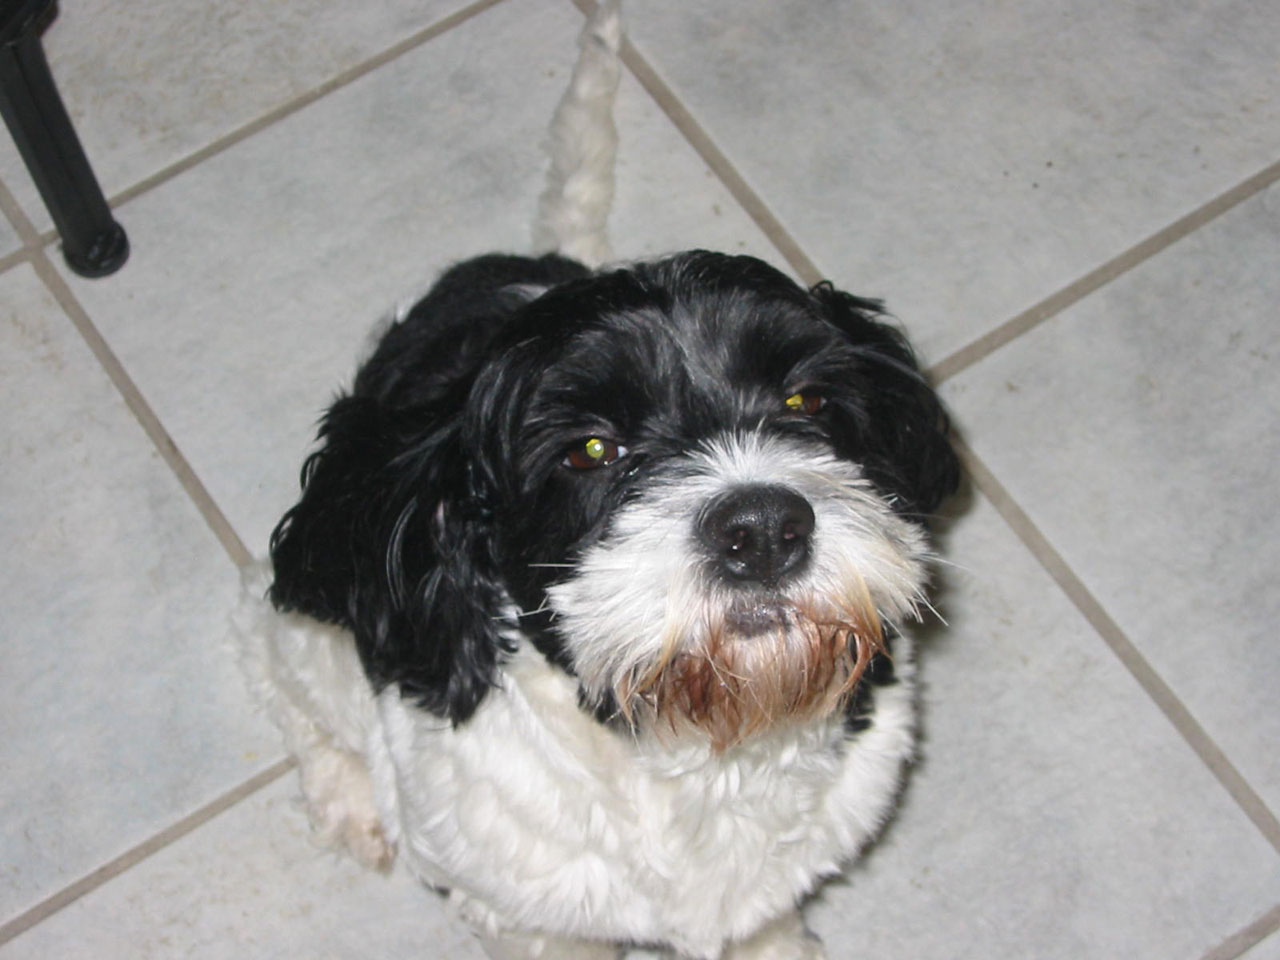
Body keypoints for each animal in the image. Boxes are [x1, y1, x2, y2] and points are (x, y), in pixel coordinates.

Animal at [238, 3, 962, 957]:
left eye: (806, 400)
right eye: (590, 450)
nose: (764, 530)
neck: (687, 753)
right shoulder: (527, 907)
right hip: (311, 616)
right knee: (272, 659)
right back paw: (346, 794)